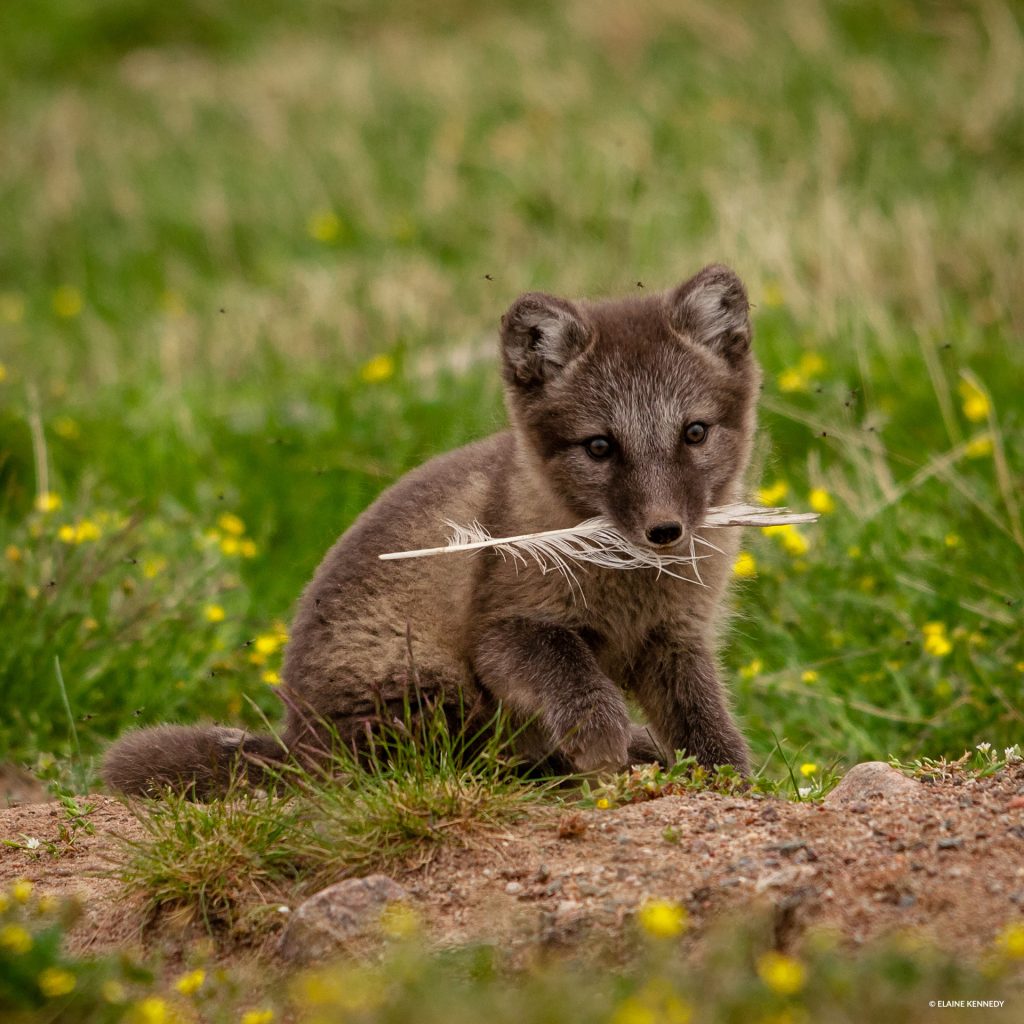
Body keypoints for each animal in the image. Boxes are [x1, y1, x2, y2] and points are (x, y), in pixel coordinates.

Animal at [103, 264, 760, 798]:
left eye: (694, 433)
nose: (664, 531)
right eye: (599, 446)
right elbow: (571, 672)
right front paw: (601, 740)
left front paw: (733, 781)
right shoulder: (506, 628)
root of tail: (299, 745)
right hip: (433, 694)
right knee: (464, 765)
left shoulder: (676, 638)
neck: (633, 588)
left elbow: (704, 718)